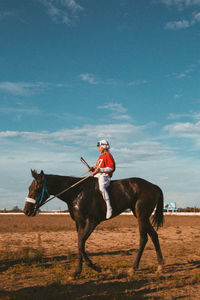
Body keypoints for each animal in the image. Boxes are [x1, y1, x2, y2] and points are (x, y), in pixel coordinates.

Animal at [23, 169, 164, 276]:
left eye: (37, 188)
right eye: (29, 187)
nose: (26, 211)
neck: (76, 192)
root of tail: (154, 186)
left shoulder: (92, 222)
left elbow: (81, 244)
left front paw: (95, 267)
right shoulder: (79, 223)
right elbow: (79, 244)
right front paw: (77, 271)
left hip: (141, 216)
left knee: (143, 238)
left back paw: (134, 267)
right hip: (142, 216)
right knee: (154, 235)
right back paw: (160, 265)